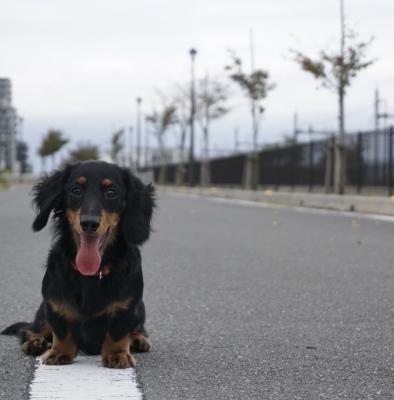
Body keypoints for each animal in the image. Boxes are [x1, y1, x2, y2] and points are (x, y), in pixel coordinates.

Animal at [0, 161, 155, 368]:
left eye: (112, 192)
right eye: (75, 190)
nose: (89, 223)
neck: (91, 275)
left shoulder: (128, 307)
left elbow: (118, 332)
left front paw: (118, 354)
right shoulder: (53, 303)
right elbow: (61, 332)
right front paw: (59, 352)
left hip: (141, 309)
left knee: (139, 329)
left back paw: (139, 339)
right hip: (42, 312)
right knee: (31, 330)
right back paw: (36, 342)